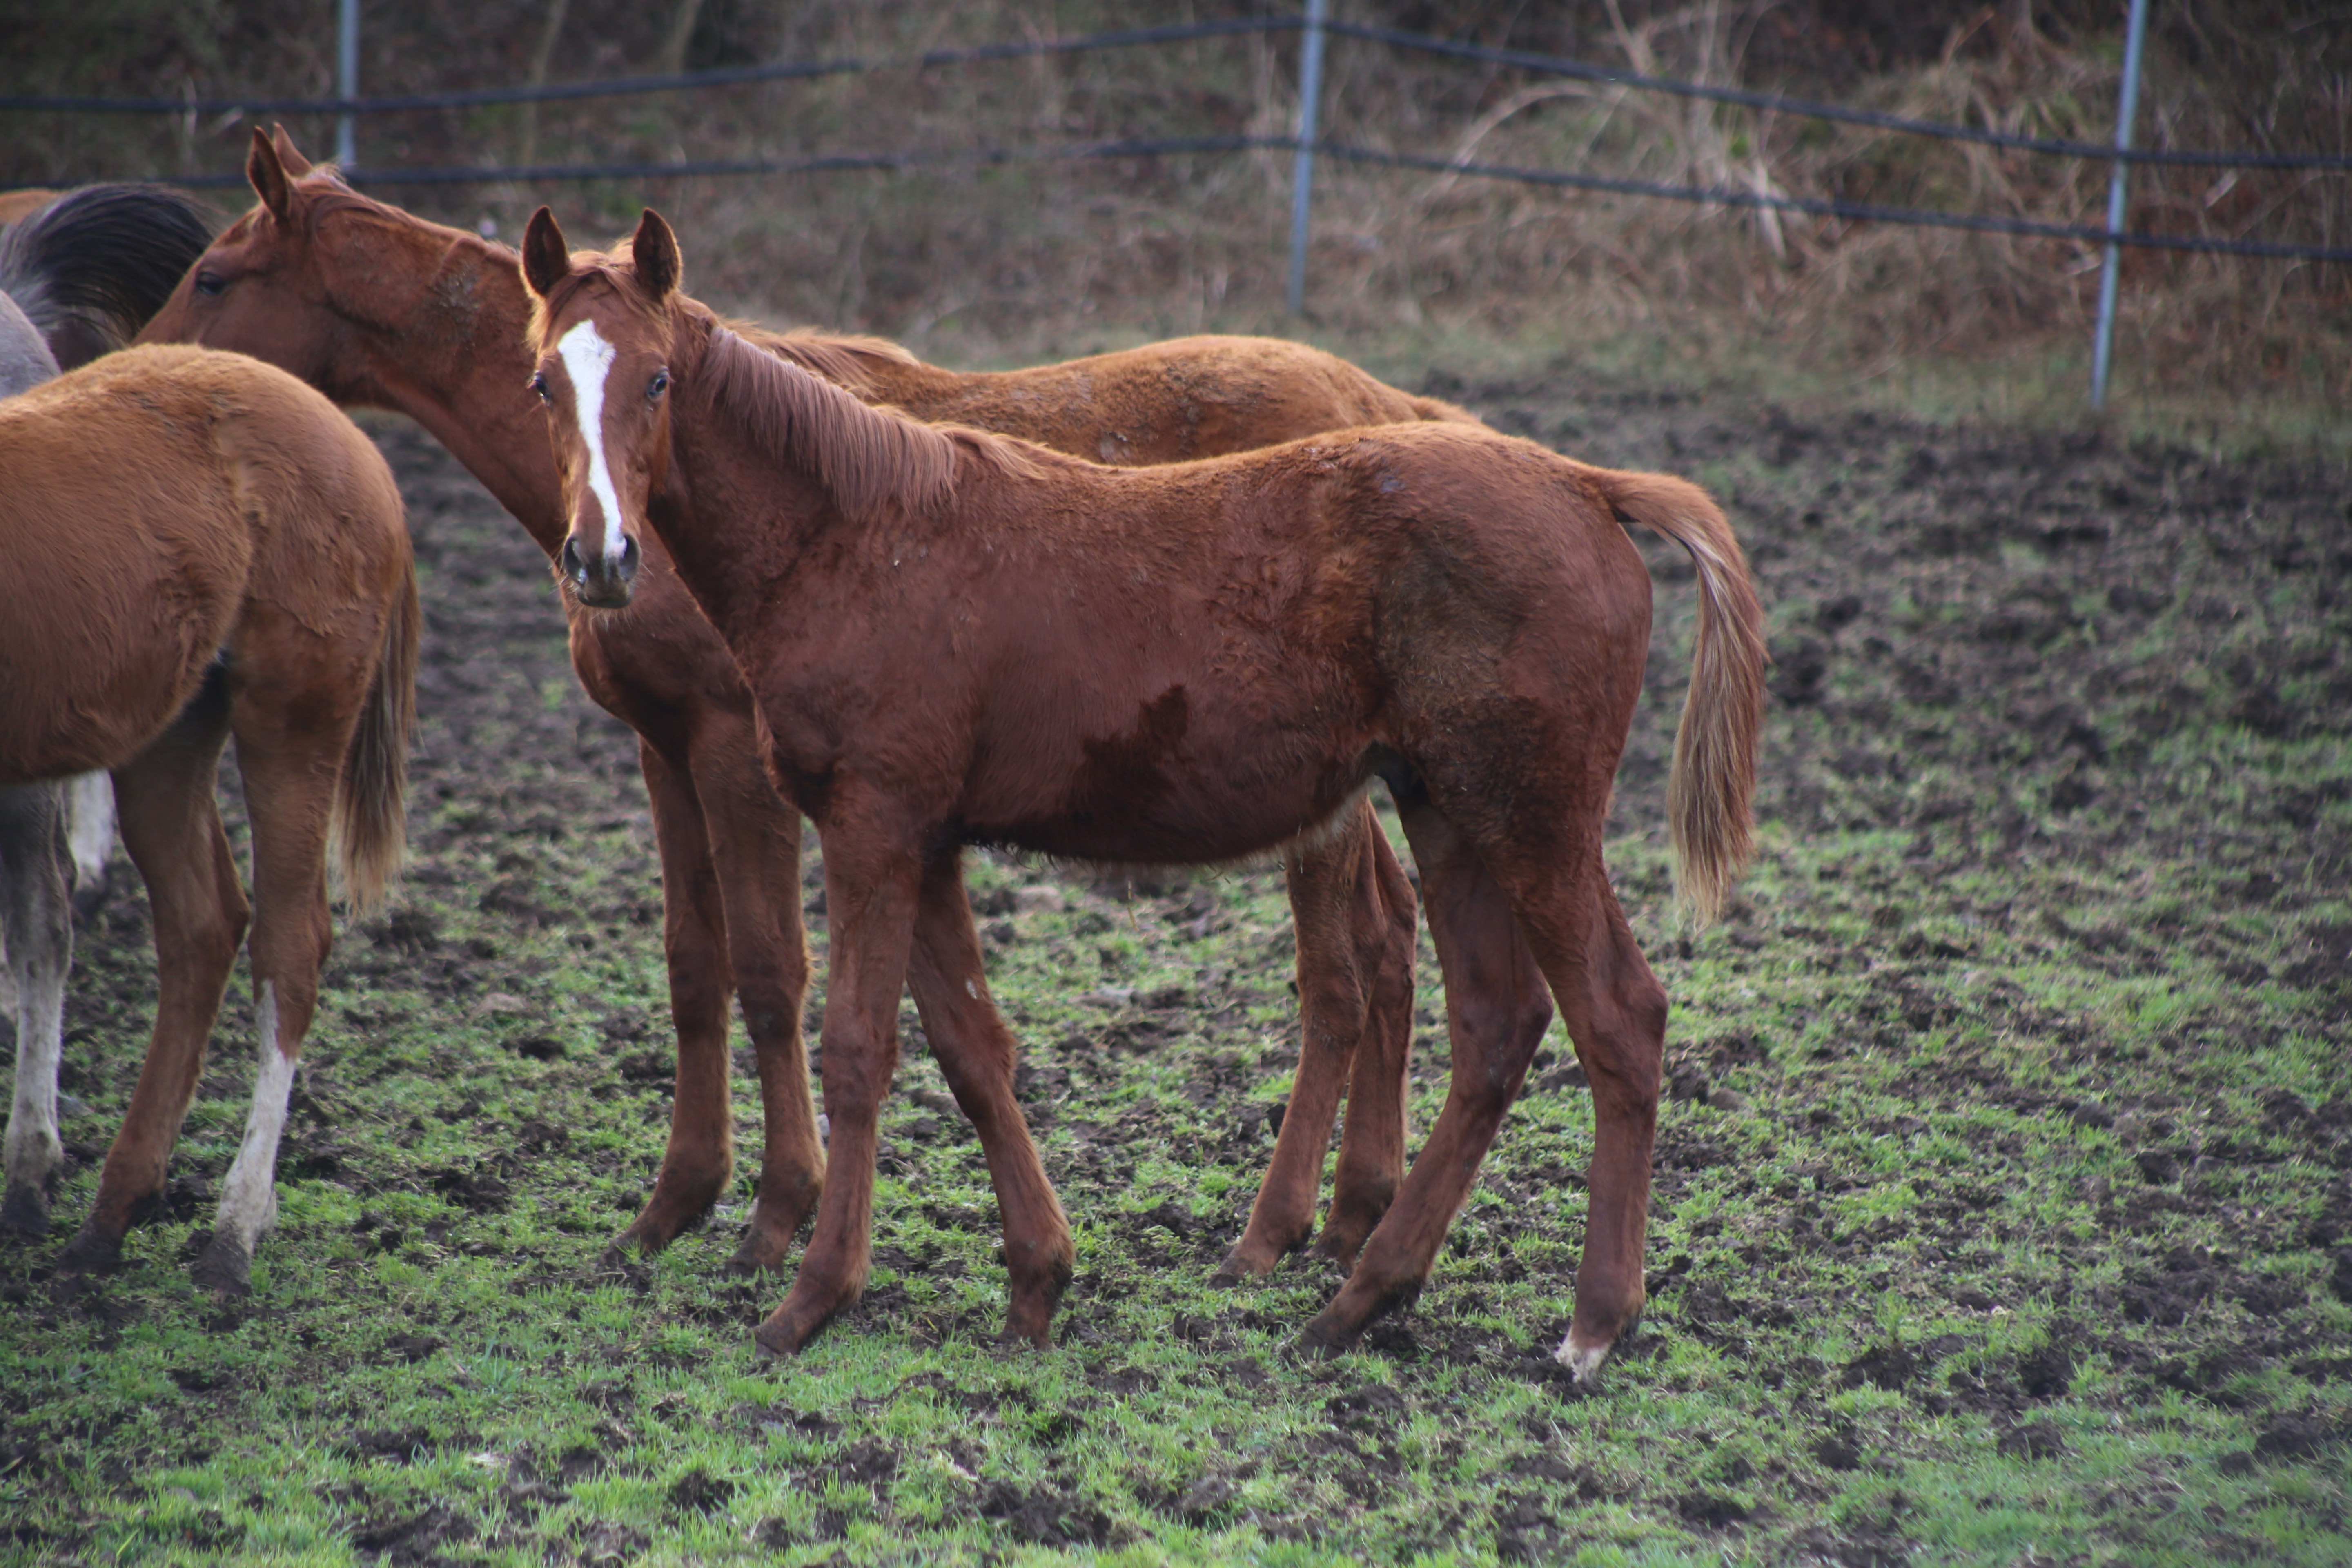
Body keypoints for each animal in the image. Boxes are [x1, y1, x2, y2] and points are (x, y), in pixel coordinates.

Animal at [0, 343, 419, 1288]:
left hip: (292, 722)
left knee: (287, 945)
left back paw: (233, 1229)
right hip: (169, 734)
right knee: (202, 927)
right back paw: (112, 1214)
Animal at [137, 126, 1477, 1288]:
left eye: (211, 276)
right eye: (540, 382)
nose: (135, 372)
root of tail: (1401, 412)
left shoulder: (743, 755)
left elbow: (775, 969)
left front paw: (780, 1212)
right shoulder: (663, 749)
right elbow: (696, 965)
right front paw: (673, 1203)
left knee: (1340, 971)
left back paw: (1278, 1227)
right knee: (1389, 942)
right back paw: (1356, 1212)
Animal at [519, 212, 1768, 1382]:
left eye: (658, 379)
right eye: (542, 381)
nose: (601, 560)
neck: (858, 534)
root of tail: (1587, 486)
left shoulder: (873, 827)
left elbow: (860, 1050)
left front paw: (811, 1297)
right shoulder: (925, 840)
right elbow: (972, 1048)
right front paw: (1036, 1286)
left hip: (1532, 824)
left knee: (1618, 1020)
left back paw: (1589, 1324)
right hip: (1447, 813)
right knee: (1495, 1027)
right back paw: (1359, 1299)